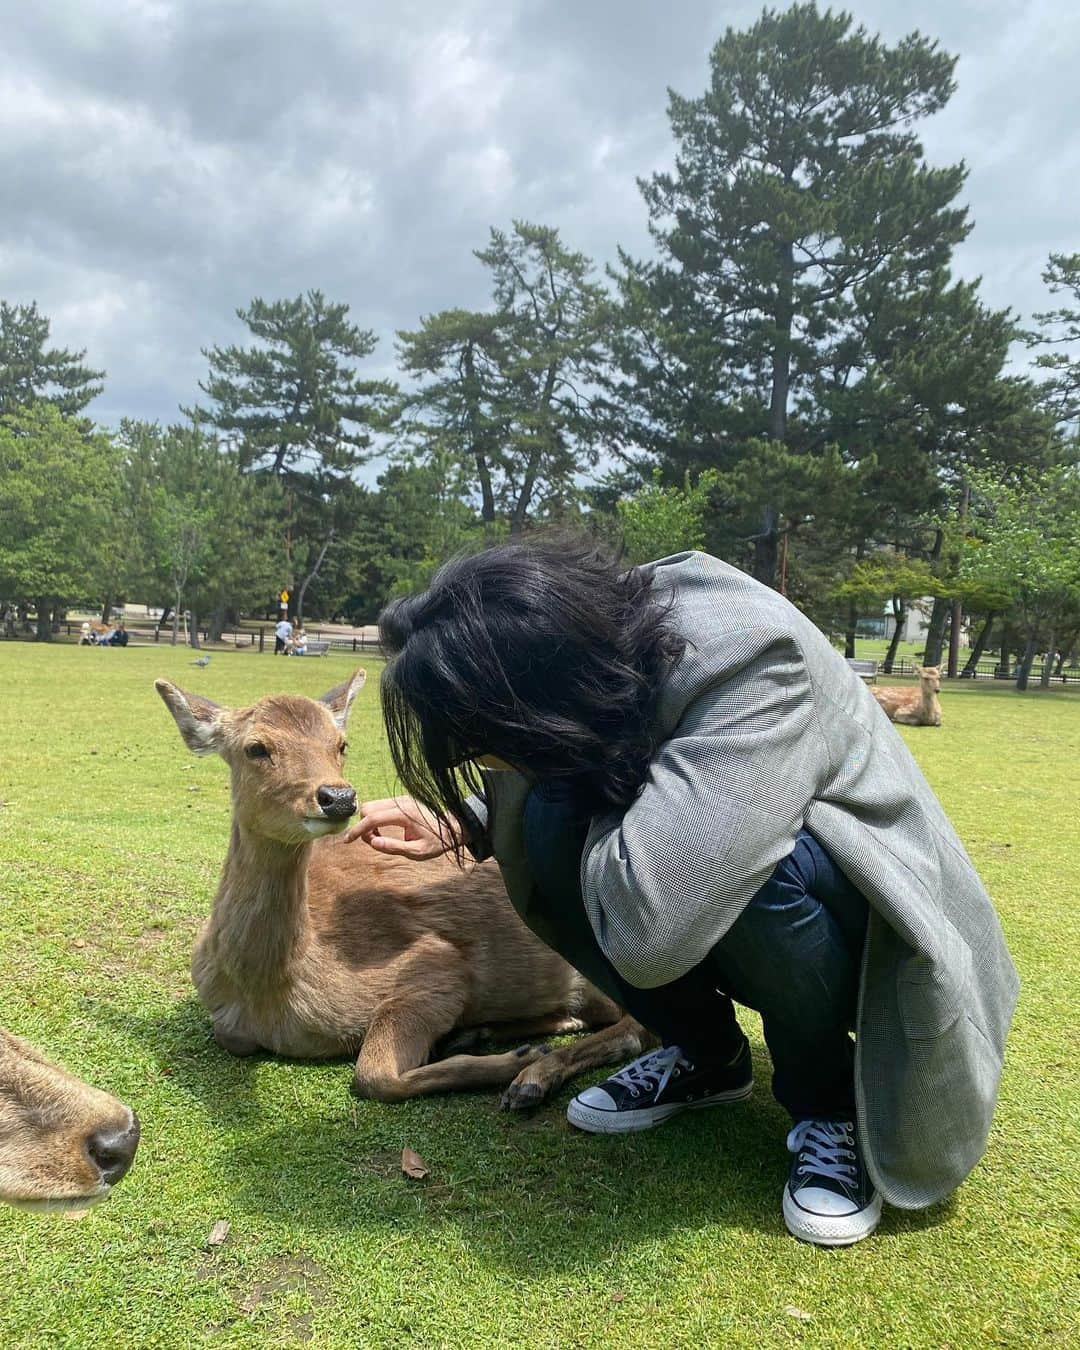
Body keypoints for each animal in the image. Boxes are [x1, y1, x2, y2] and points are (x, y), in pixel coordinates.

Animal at [153, 672, 650, 1107]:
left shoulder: (436, 967)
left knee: (634, 1029)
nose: (338, 797)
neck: (272, 995)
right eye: (256, 747)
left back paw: (530, 1074)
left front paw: (515, 1063)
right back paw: (484, 1035)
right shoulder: (227, 1023)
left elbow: (373, 1074)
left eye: (341, 745)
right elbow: (231, 1037)